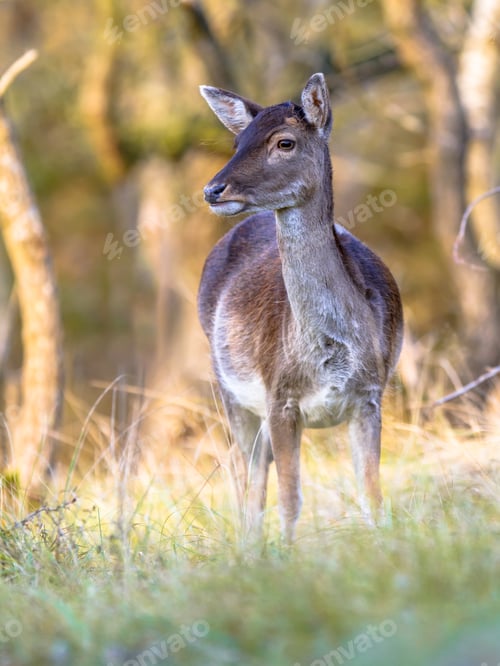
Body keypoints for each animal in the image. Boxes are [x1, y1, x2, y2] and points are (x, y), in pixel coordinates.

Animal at [198, 73, 403, 543]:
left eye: (284, 142)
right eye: (237, 143)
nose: (213, 189)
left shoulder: (370, 395)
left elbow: (373, 497)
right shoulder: (279, 398)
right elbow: (290, 500)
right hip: (227, 389)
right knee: (249, 480)